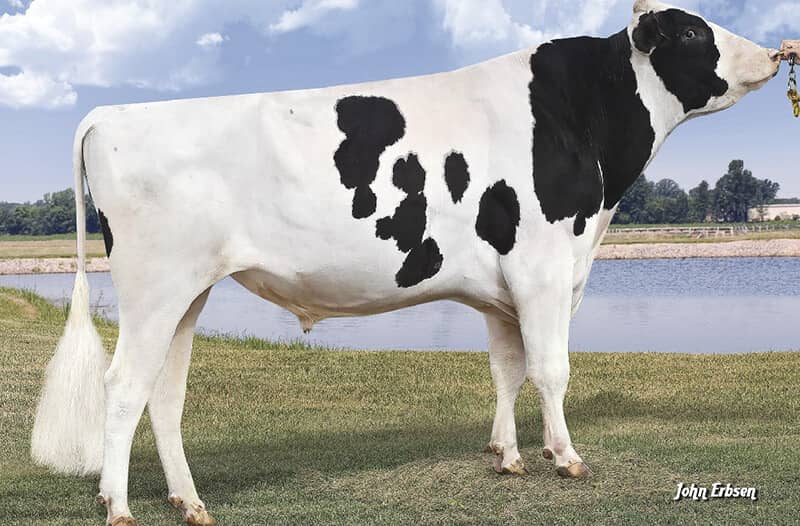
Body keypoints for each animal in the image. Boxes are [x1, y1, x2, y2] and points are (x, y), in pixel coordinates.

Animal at [30, 1, 782, 524]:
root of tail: (110, 114)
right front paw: (565, 457)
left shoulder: (503, 286)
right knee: (123, 384)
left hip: (188, 293)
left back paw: (188, 502)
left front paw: (508, 456)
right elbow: (551, 369)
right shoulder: (543, 266)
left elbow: (506, 371)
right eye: (692, 32)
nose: (776, 51)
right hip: (154, 287)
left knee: (164, 392)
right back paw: (118, 505)